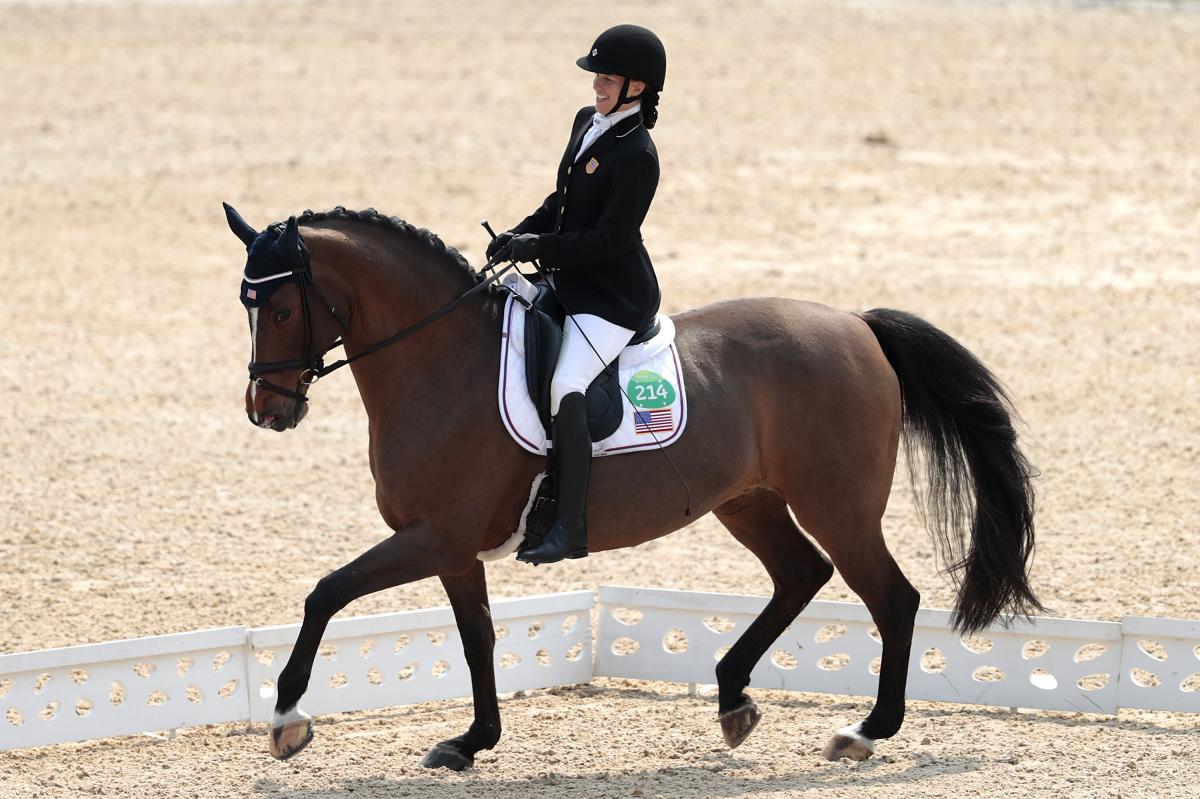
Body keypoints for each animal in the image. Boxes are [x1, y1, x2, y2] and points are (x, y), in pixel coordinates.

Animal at [225, 203, 1041, 767]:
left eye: (284, 306)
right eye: (246, 305)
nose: (267, 410)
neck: (440, 361)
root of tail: (857, 324)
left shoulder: (433, 537)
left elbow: (326, 592)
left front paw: (287, 719)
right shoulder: (454, 550)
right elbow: (477, 638)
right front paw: (472, 740)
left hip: (837, 507)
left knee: (890, 598)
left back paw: (863, 731)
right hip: (747, 500)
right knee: (800, 575)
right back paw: (734, 697)